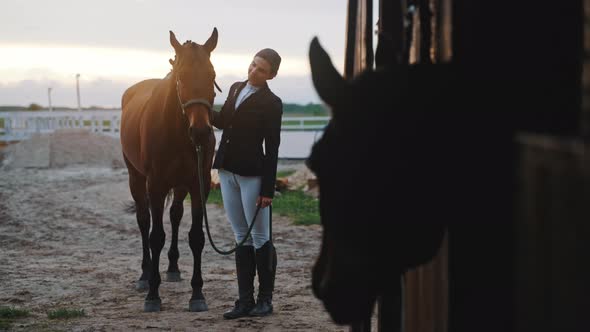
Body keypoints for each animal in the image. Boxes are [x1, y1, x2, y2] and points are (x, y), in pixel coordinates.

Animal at [120, 27, 220, 312]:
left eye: (212, 75)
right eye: (181, 76)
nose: (201, 132)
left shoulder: (198, 185)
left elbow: (196, 237)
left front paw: (197, 294)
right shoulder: (155, 185)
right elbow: (156, 236)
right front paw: (153, 295)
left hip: (179, 184)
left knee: (175, 216)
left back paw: (173, 268)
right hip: (136, 179)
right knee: (143, 221)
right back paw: (144, 275)